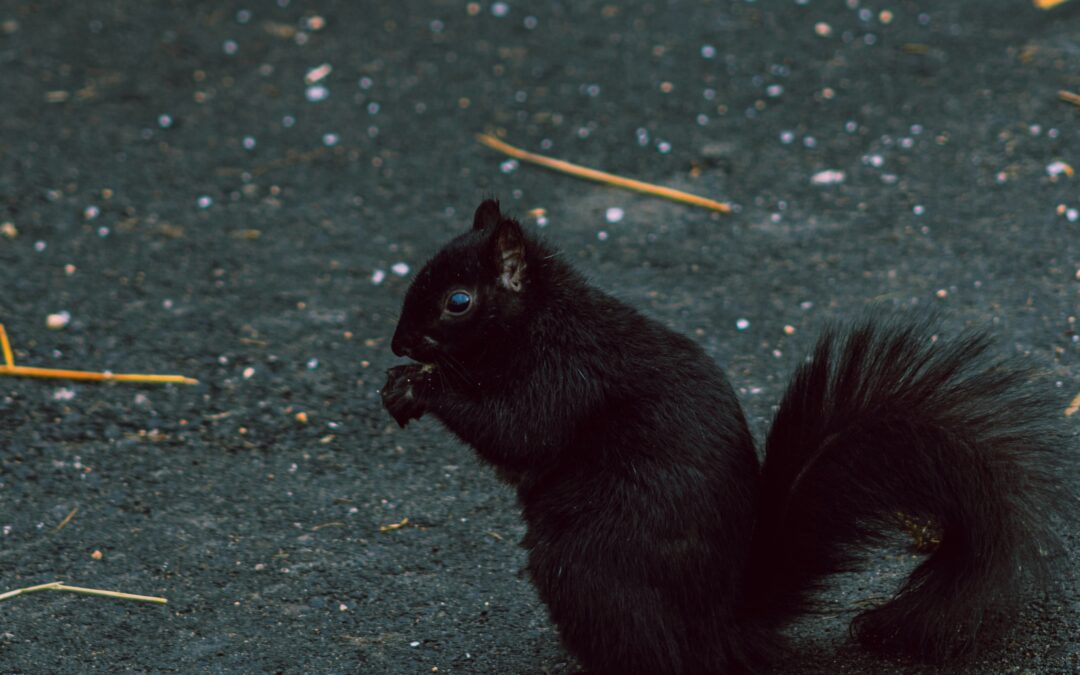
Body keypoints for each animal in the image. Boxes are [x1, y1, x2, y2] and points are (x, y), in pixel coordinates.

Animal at [381, 199, 1076, 674]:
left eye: (459, 301)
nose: (398, 343)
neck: (541, 320)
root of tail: (724, 625)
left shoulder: (567, 375)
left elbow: (519, 432)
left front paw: (422, 387)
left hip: (585, 566)